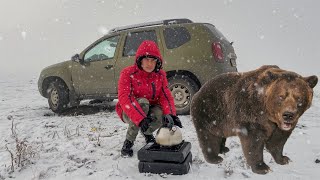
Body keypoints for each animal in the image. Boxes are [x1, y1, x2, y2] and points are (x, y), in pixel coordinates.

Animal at [190, 65, 318, 174]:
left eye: (299, 98)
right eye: (281, 96)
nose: (288, 115)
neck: (268, 113)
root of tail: (199, 91)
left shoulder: (279, 125)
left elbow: (278, 139)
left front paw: (283, 159)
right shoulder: (251, 113)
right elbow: (253, 140)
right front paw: (262, 167)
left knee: (220, 134)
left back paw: (224, 149)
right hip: (209, 112)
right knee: (208, 136)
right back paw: (214, 158)